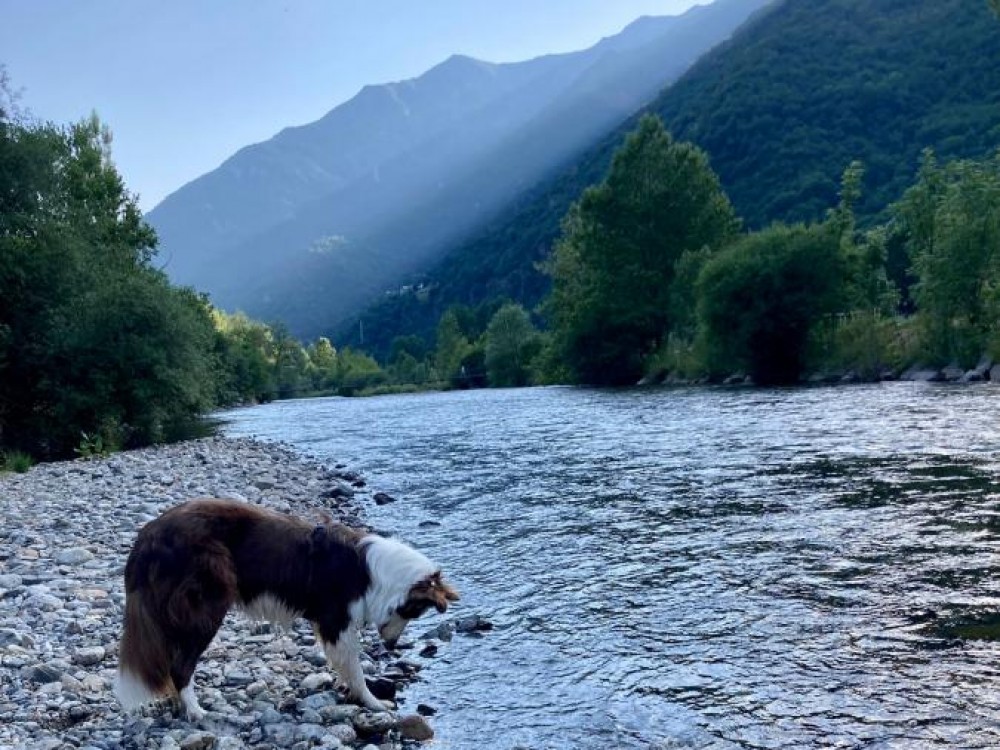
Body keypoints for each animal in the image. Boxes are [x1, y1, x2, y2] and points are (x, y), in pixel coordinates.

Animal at [114, 498, 458, 719]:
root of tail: (147, 535)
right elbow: (356, 669)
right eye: (414, 613)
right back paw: (196, 711)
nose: (391, 645)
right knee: (180, 666)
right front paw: (373, 703)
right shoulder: (337, 622)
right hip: (206, 610)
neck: (376, 574)